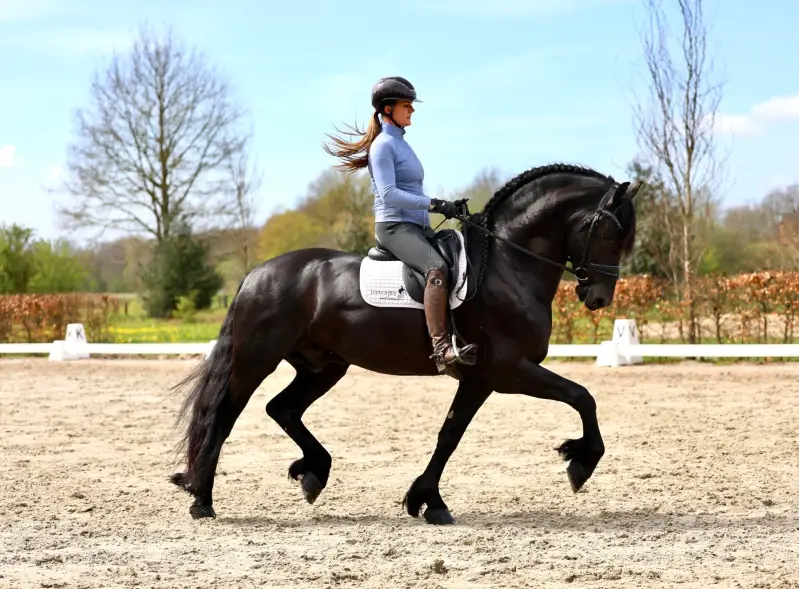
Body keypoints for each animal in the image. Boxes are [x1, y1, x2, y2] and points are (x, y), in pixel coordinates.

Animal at [168, 163, 640, 525]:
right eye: (610, 235)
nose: (599, 298)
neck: (509, 264)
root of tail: (255, 274)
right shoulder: (507, 370)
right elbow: (582, 396)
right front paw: (581, 462)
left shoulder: (480, 378)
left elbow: (449, 434)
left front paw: (426, 500)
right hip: (256, 360)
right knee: (225, 416)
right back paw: (202, 499)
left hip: (324, 366)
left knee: (281, 408)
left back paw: (313, 473)